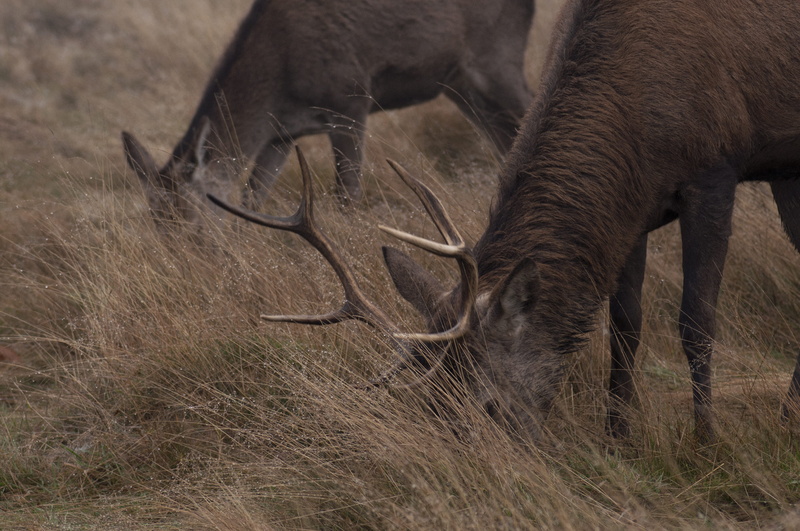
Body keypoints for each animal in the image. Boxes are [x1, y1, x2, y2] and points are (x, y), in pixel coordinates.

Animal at [121, 0, 534, 229]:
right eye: (158, 227)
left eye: (194, 222)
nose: (195, 267)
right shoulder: (281, 136)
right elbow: (253, 200)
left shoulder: (349, 100)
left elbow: (347, 195)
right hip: (459, 84)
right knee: (505, 138)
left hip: (497, 54)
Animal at [210, 0, 800, 443]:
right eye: (433, 402)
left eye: (489, 405)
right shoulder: (633, 210)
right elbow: (625, 325)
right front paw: (618, 439)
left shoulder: (713, 172)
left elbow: (695, 321)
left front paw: (705, 442)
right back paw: (789, 414)